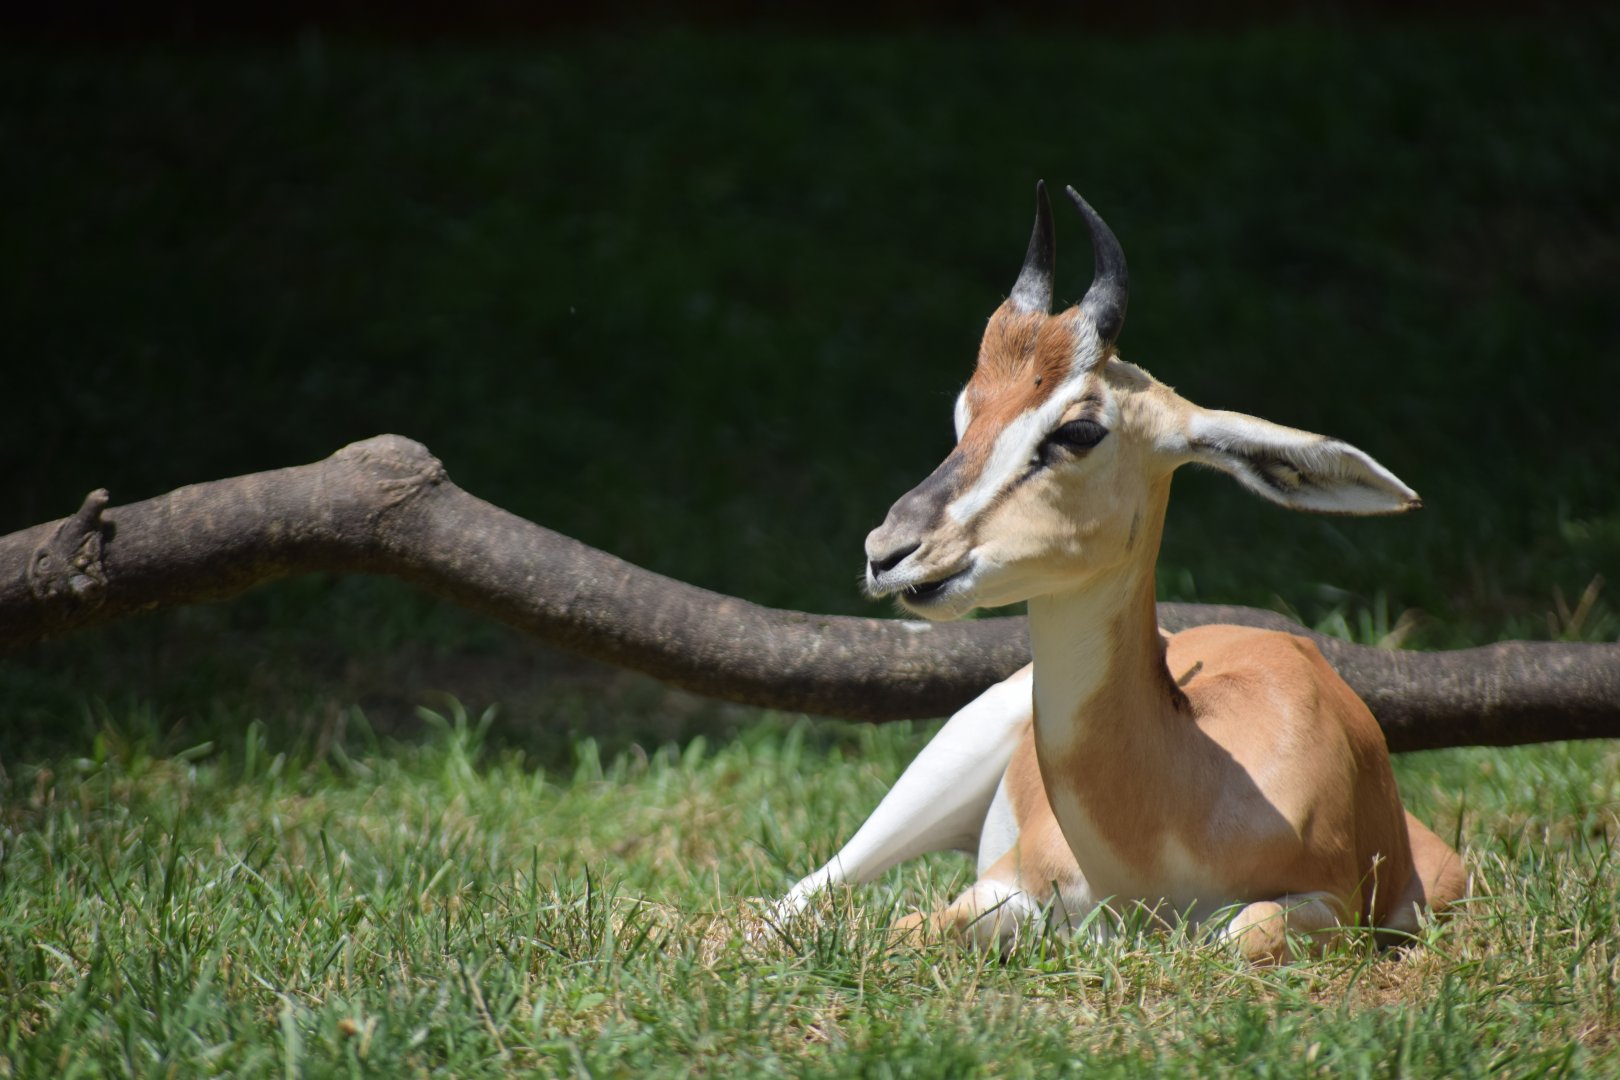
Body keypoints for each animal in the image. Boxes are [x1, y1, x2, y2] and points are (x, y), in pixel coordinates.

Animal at [766, 184, 1468, 963]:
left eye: (1078, 430)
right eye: (965, 413)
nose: (888, 549)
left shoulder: (1355, 902)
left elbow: (1242, 930)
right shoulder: (1004, 882)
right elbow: (922, 922)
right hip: (952, 749)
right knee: (810, 889)